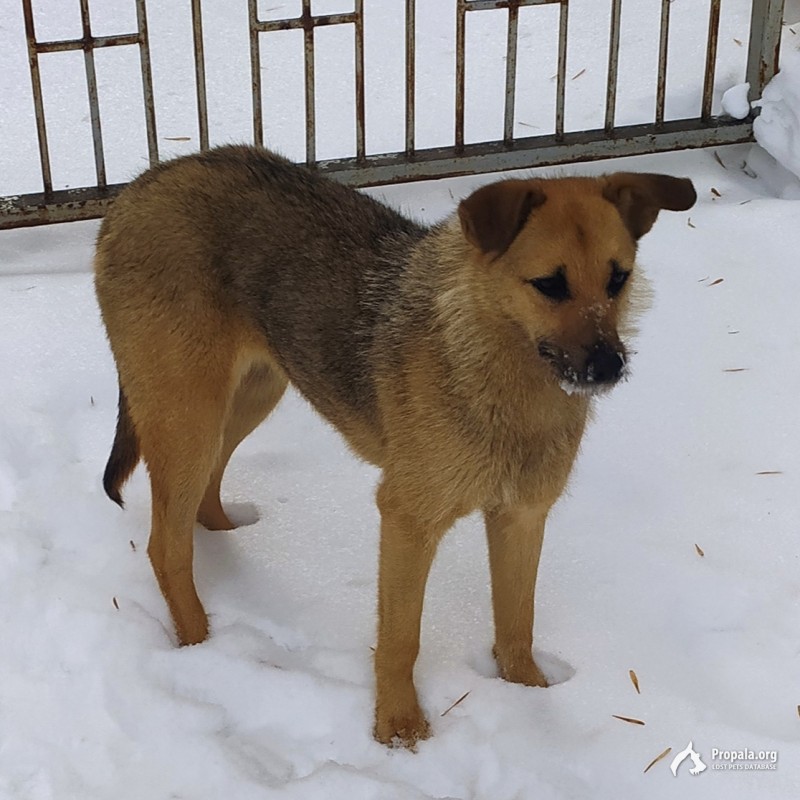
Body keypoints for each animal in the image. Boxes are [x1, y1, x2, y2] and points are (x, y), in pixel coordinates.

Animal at [92, 145, 692, 752]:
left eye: (618, 279)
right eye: (549, 285)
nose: (609, 367)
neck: (501, 372)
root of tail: (136, 191)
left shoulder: (521, 517)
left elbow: (516, 624)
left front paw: (531, 699)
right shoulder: (408, 519)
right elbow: (403, 639)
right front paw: (399, 727)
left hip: (250, 395)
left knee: (204, 495)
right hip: (189, 416)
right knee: (166, 546)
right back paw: (200, 646)